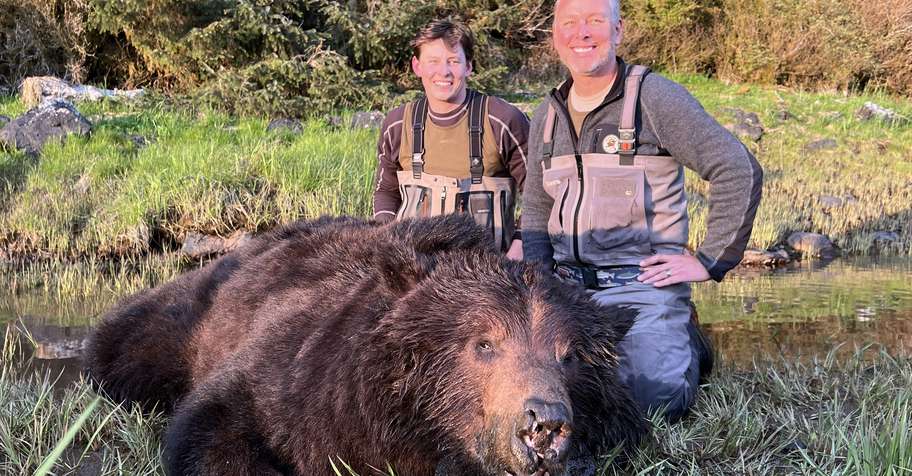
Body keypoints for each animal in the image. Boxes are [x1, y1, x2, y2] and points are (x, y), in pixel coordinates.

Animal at [85, 214, 647, 476]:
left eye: (569, 355)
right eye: (484, 344)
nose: (544, 423)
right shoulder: (295, 378)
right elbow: (212, 426)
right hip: (191, 312)